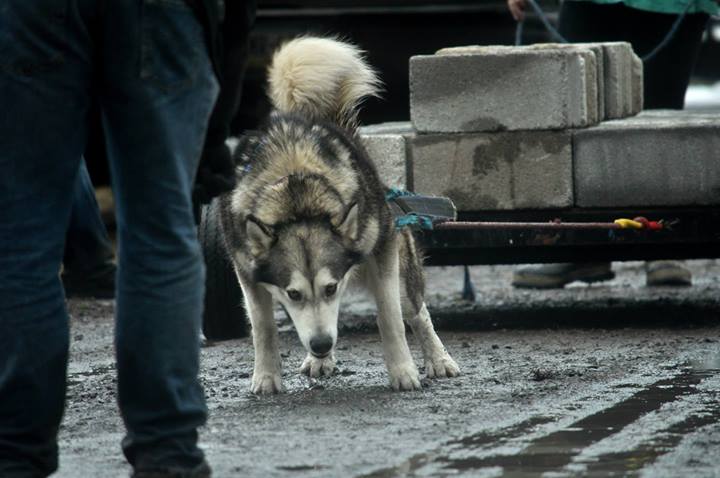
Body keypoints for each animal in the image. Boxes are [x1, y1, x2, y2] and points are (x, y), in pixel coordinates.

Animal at [217, 37, 462, 394]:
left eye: (331, 288)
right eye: (293, 294)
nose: (320, 344)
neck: (298, 196)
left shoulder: (383, 251)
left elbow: (390, 317)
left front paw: (403, 371)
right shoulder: (247, 271)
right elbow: (263, 326)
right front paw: (266, 376)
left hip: (403, 268)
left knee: (416, 311)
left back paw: (438, 358)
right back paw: (320, 360)